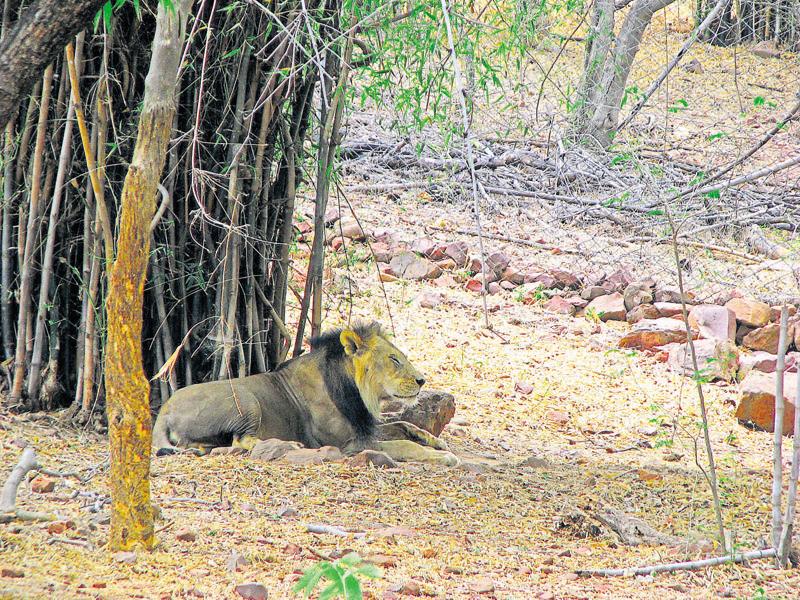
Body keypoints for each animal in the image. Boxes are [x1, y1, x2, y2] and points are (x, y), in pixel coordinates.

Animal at [152, 322, 460, 466]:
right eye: (394, 359)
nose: (421, 380)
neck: (357, 393)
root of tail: (163, 412)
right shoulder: (349, 444)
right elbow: (402, 445)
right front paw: (444, 457)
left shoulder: (364, 426)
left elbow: (403, 424)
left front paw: (435, 441)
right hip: (246, 398)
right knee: (241, 441)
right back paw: (291, 445)